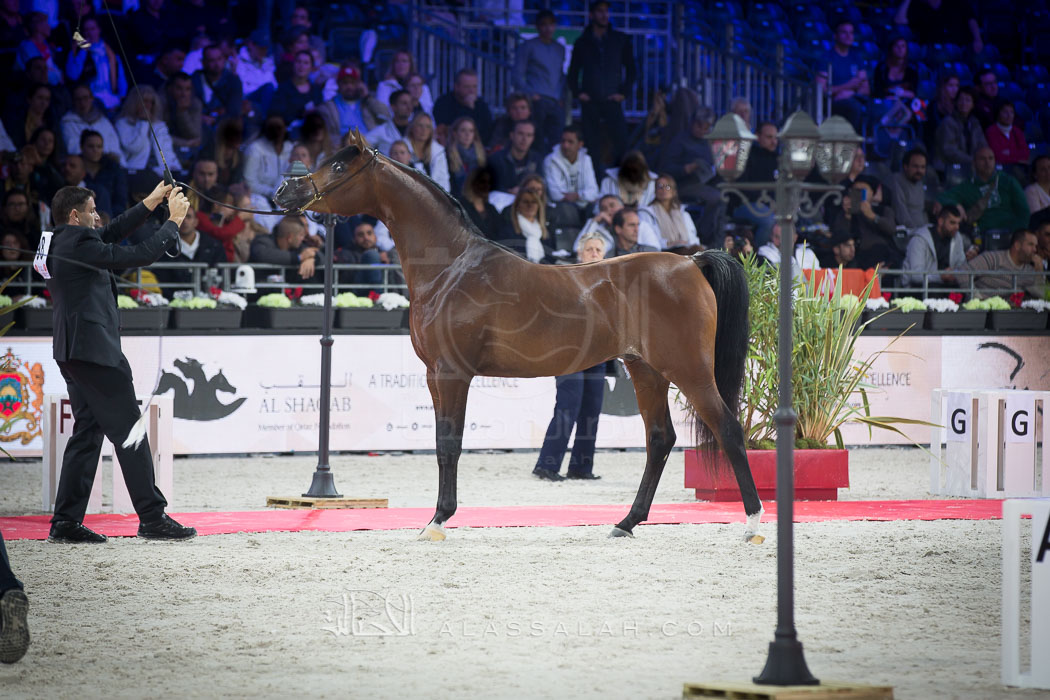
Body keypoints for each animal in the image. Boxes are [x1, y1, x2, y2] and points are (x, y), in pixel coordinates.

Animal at [274, 128, 763, 543]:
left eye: (339, 166)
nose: (284, 192)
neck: (451, 268)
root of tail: (690, 262)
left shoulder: (452, 373)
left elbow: (450, 444)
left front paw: (438, 521)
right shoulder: (435, 375)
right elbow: (441, 444)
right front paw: (437, 518)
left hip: (689, 370)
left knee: (728, 429)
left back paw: (754, 524)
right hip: (646, 370)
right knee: (660, 439)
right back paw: (625, 523)